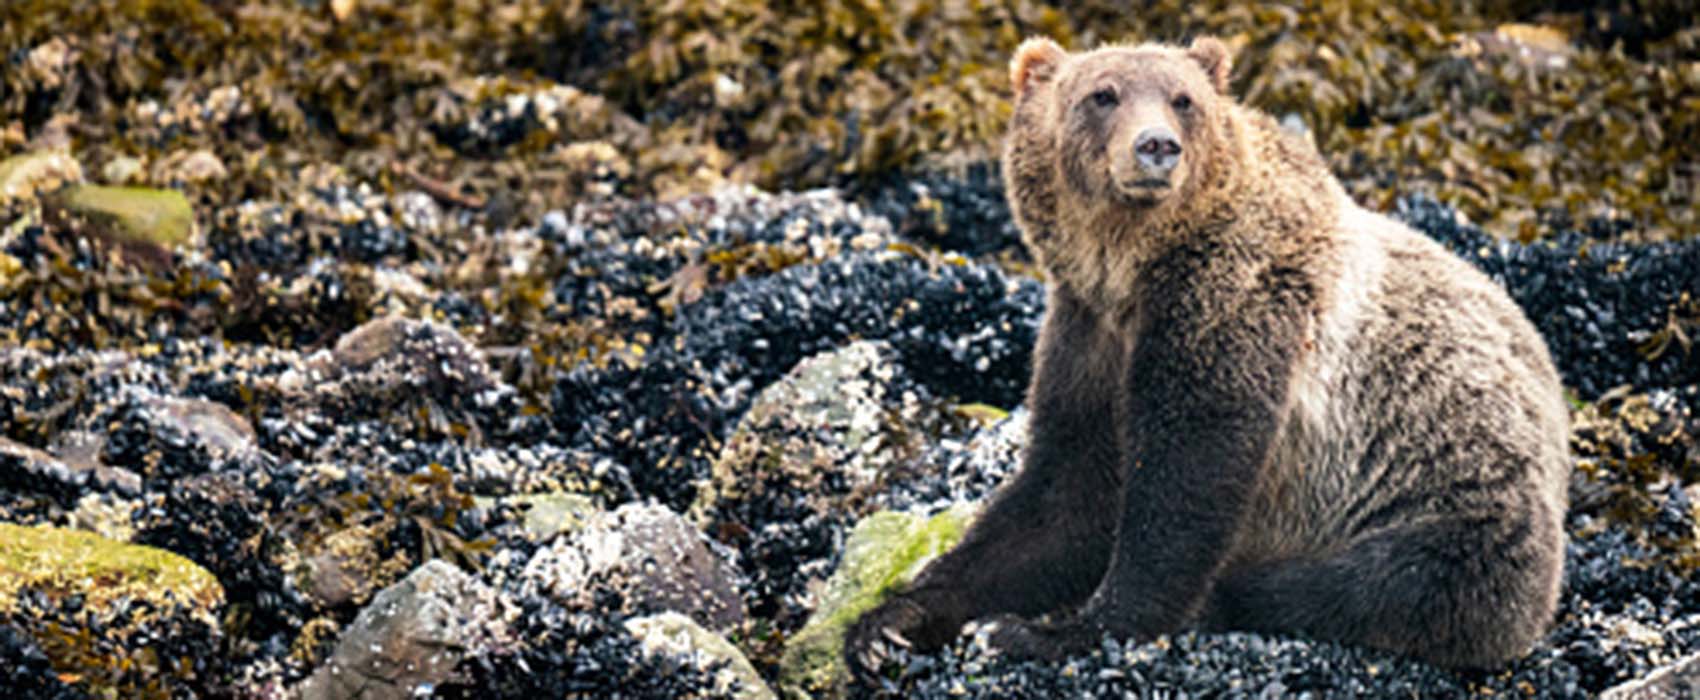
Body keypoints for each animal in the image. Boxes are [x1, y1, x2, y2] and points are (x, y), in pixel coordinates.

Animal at [843, 35, 1570, 676]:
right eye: (1102, 94)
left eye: (1182, 98)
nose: (1156, 146)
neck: (1131, 268)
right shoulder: (1089, 331)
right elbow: (1062, 490)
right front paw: (890, 623)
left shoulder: (1228, 302)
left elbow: (1187, 471)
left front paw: (1054, 631)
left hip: (1459, 503)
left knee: (1381, 581)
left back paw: (1229, 598)